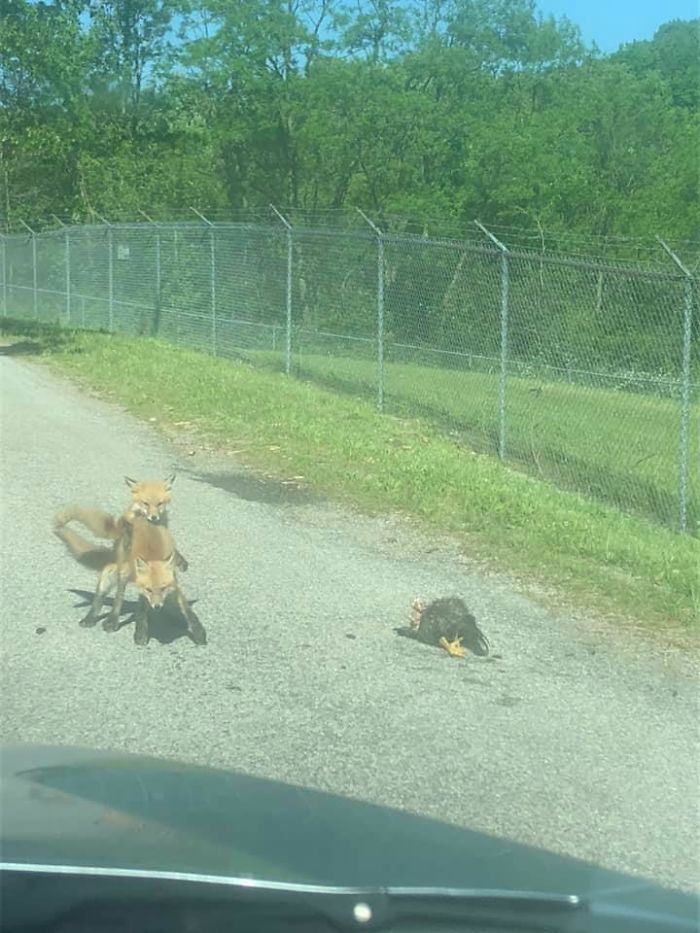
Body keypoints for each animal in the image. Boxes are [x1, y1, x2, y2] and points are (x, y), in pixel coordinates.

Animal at [53, 511, 206, 646]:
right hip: (117, 574)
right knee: (110, 599)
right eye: (149, 589)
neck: (154, 555)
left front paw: (199, 633)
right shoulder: (143, 591)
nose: (156, 606)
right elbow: (141, 612)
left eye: (163, 588)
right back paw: (101, 619)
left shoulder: (173, 586)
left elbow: (188, 611)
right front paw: (141, 634)